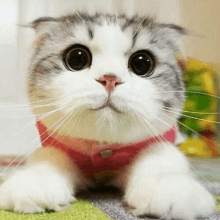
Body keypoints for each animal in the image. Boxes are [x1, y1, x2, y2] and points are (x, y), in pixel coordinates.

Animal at [0, 12, 216, 219]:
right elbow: (48, 158)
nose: (110, 78)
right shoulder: (56, 145)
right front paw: (35, 184)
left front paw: (169, 189)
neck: (104, 149)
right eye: (77, 58)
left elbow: (162, 158)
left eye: (142, 63)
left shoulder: (158, 142)